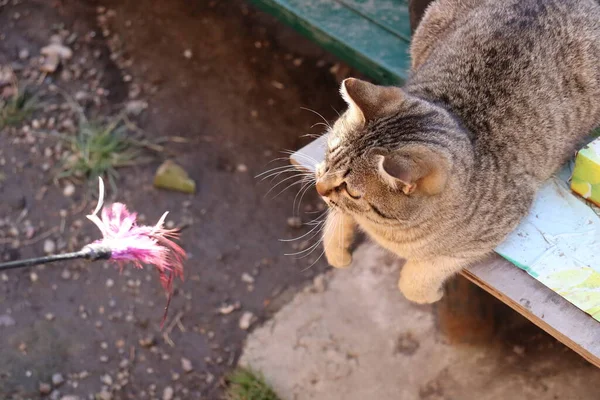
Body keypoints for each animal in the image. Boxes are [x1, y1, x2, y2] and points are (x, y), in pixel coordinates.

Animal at [316, 0, 600, 304]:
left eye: (352, 191)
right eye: (329, 156)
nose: (319, 188)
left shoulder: (478, 240)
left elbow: (418, 278)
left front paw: (429, 294)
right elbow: (337, 218)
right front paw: (336, 247)